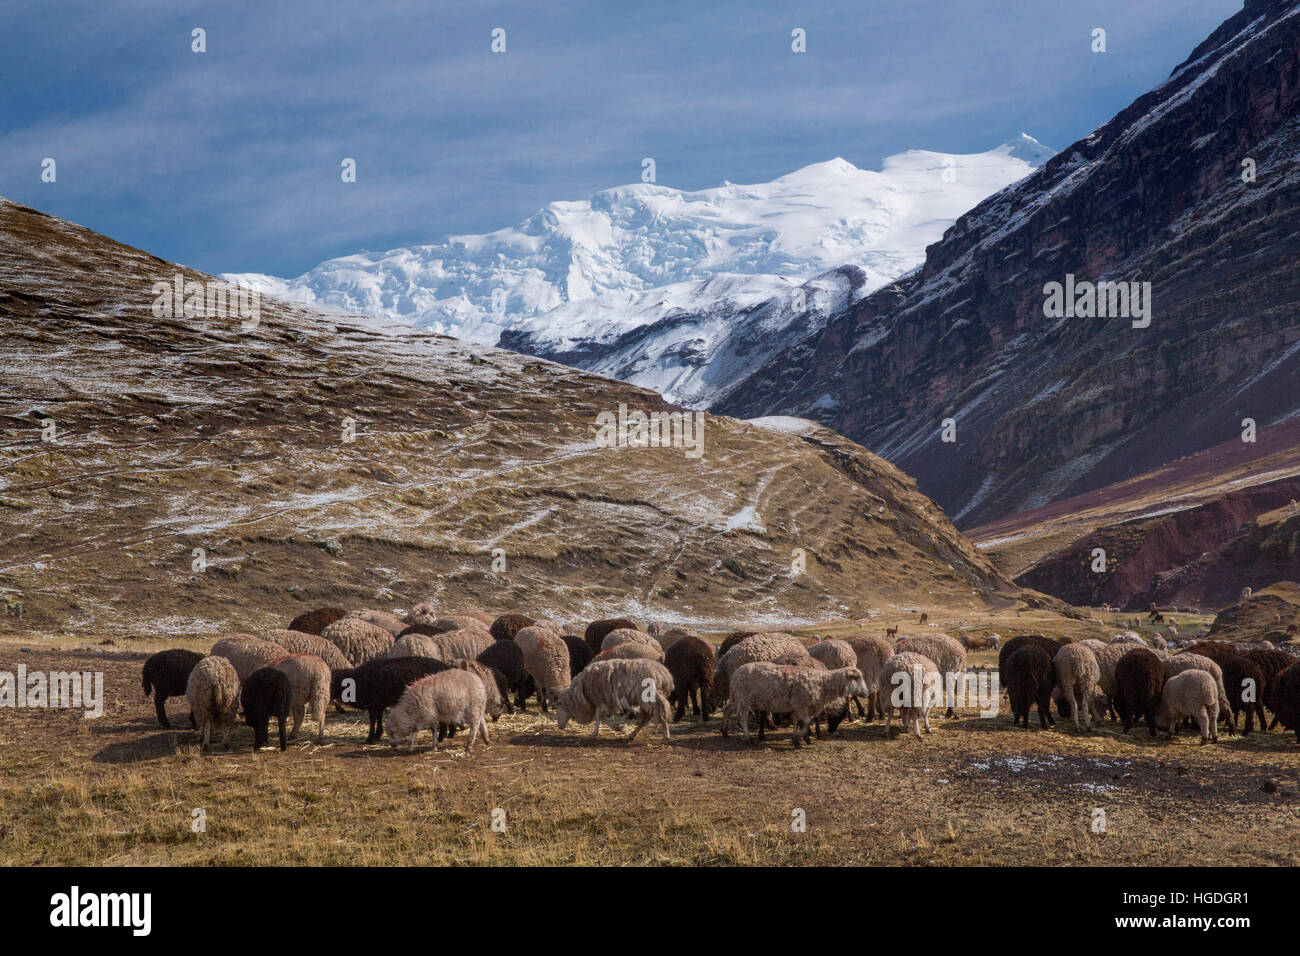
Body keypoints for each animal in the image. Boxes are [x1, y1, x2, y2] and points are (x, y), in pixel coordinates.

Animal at [728, 665, 868, 749]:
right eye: (857, 678)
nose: (866, 693)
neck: (823, 684)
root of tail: (735, 673)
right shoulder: (801, 706)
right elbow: (806, 722)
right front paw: (797, 739)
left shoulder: (799, 707)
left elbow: (798, 722)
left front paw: (800, 739)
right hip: (743, 699)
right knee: (743, 719)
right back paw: (747, 738)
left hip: (739, 699)